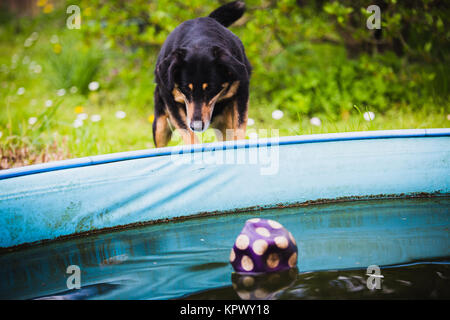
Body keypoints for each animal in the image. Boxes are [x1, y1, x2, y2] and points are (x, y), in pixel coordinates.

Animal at [153, 0, 251, 148]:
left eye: (210, 89)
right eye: (186, 88)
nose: (197, 126)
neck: (199, 42)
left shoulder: (241, 91)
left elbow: (239, 126)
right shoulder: (170, 100)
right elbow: (187, 133)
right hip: (160, 126)